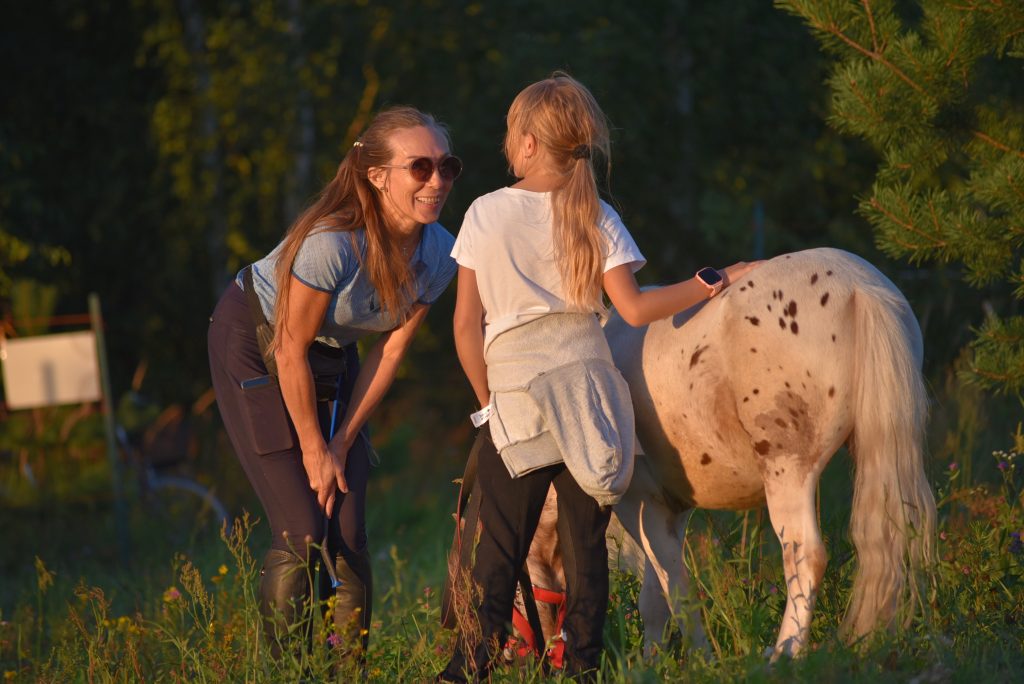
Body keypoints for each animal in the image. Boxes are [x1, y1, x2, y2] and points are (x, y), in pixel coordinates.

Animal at [524, 245, 937, 655]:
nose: (530, 655)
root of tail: (858, 286)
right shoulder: (672, 510)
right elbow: (658, 593)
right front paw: (656, 660)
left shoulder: (640, 505)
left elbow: (674, 591)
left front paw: (698, 658)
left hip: (787, 470)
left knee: (806, 556)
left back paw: (784, 653)